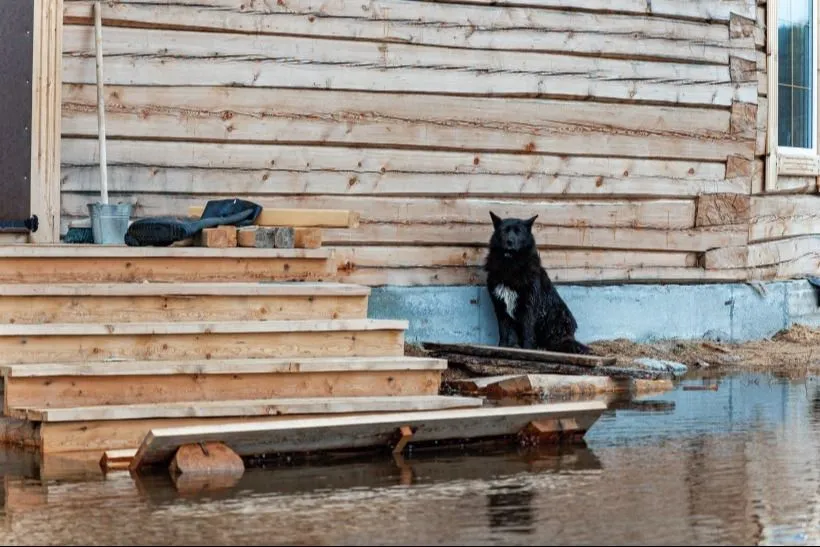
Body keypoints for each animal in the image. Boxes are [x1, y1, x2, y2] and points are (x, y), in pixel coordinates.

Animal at [484, 210, 592, 356]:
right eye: (503, 231)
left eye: (518, 232)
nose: (509, 242)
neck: (511, 265)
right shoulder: (500, 306)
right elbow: (504, 331)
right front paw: (503, 347)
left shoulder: (529, 306)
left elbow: (528, 331)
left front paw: (528, 349)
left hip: (557, 315)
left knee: (556, 344)